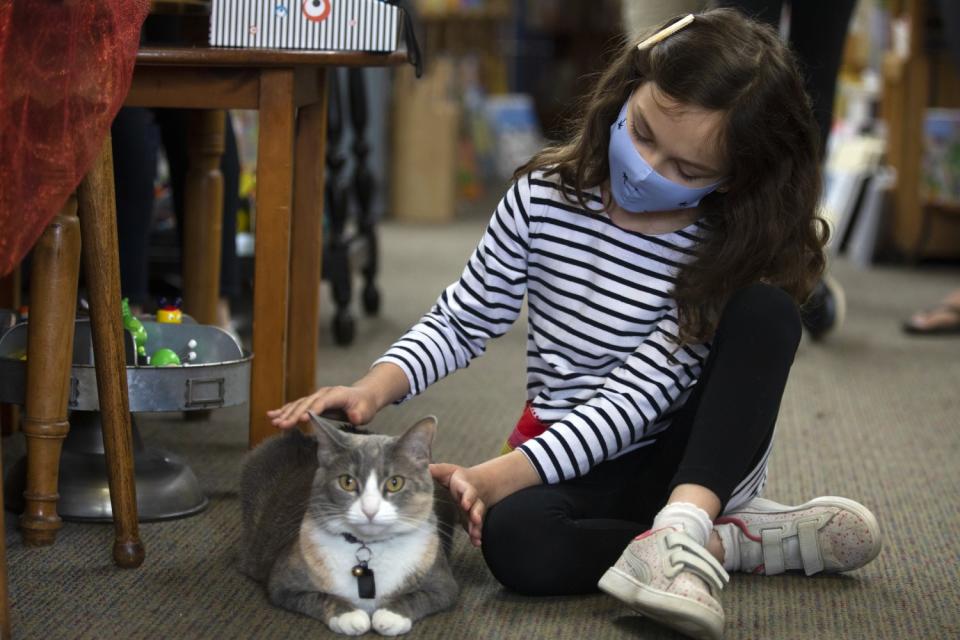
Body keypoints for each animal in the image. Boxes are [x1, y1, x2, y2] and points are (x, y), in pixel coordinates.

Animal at [244, 412, 462, 636]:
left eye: (395, 483)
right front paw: (349, 616)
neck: (369, 547)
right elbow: (318, 597)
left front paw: (390, 616)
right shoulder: (283, 581)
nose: (369, 509)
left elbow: (421, 597)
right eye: (347, 482)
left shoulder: (442, 582)